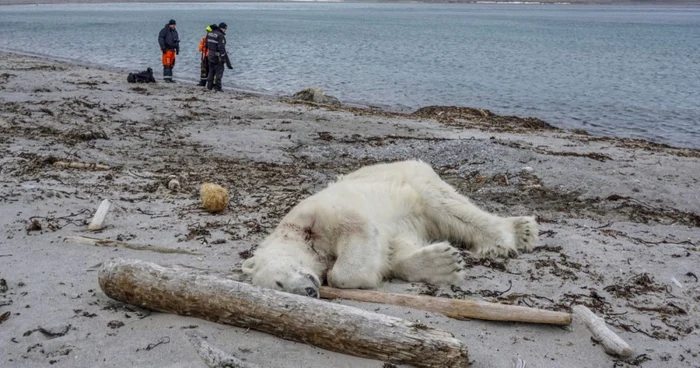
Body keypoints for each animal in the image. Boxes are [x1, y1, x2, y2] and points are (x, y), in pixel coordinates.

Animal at [243, 160, 540, 298]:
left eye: (279, 283)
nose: (309, 291)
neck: (298, 234)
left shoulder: (319, 214)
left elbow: (356, 235)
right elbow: (394, 251)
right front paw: (443, 263)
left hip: (415, 181)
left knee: (450, 207)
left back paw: (514, 234)